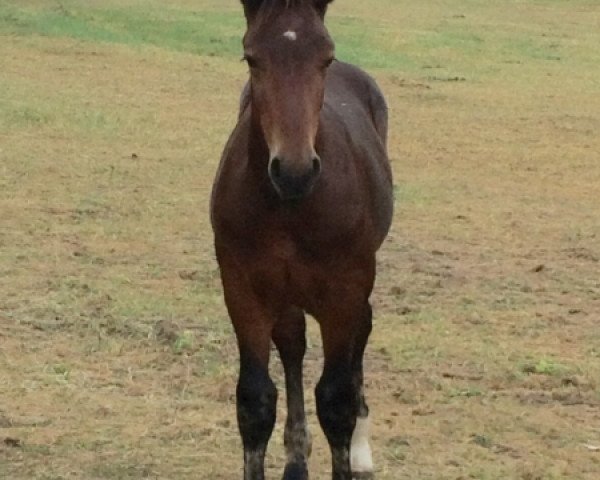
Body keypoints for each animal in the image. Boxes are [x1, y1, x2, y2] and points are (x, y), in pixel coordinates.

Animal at [211, 0, 394, 480]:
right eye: (251, 58)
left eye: (324, 58)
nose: (294, 172)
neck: (290, 209)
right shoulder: (242, 287)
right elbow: (255, 400)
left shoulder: (345, 289)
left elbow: (336, 400)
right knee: (293, 343)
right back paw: (296, 458)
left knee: (361, 335)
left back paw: (361, 448)